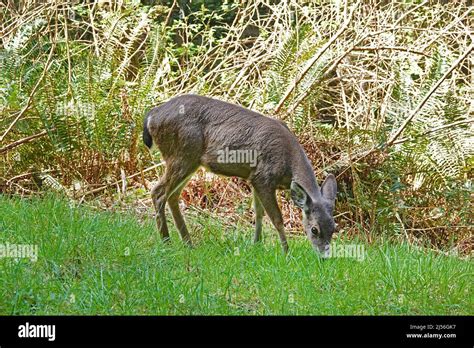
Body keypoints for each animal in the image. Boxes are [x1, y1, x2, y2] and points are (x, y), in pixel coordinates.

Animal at [143, 94, 336, 256]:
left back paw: (188, 243)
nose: (324, 257)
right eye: (314, 229)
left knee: (172, 195)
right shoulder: (263, 177)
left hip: (189, 160)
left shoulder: (254, 178)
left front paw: (256, 244)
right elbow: (276, 218)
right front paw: (286, 252)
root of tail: (153, 114)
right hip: (182, 155)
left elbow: (258, 213)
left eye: (333, 228)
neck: (288, 164)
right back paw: (167, 242)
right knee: (158, 192)